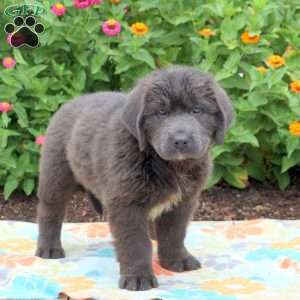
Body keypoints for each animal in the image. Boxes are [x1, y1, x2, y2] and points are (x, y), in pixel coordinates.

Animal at [35, 65, 234, 290]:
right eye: (161, 112)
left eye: (196, 110)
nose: (181, 140)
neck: (165, 164)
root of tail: (68, 104)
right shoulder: (127, 203)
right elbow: (135, 242)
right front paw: (138, 277)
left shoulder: (182, 202)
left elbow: (174, 234)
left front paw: (176, 260)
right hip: (56, 176)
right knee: (50, 212)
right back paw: (49, 249)